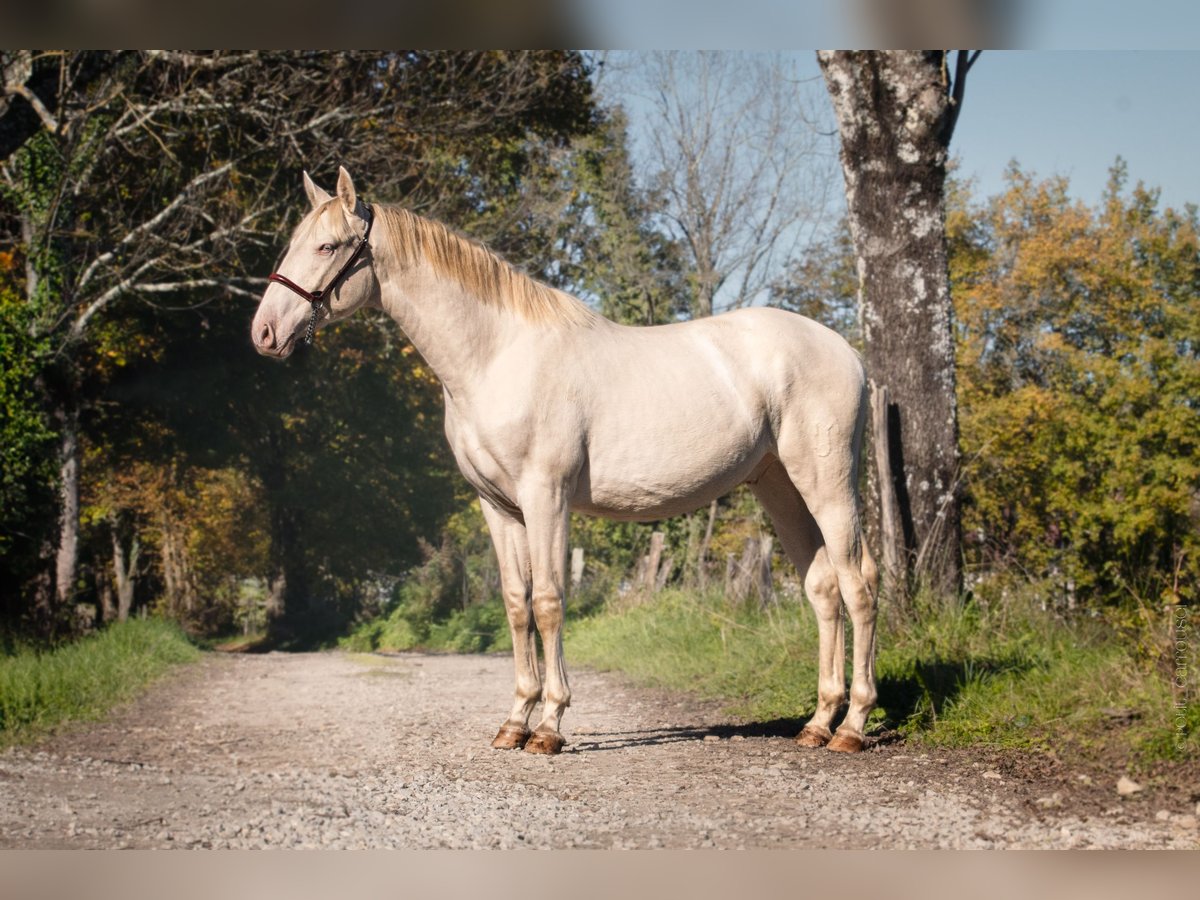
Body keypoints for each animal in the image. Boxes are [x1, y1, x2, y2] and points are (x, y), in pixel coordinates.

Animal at [253, 168, 878, 753]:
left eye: (327, 246)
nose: (264, 333)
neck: (498, 355)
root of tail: (847, 352)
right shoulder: (498, 508)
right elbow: (515, 605)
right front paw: (514, 722)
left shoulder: (545, 497)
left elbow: (550, 601)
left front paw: (549, 725)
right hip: (779, 487)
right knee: (823, 588)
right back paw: (818, 722)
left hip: (827, 485)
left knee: (859, 584)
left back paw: (852, 726)